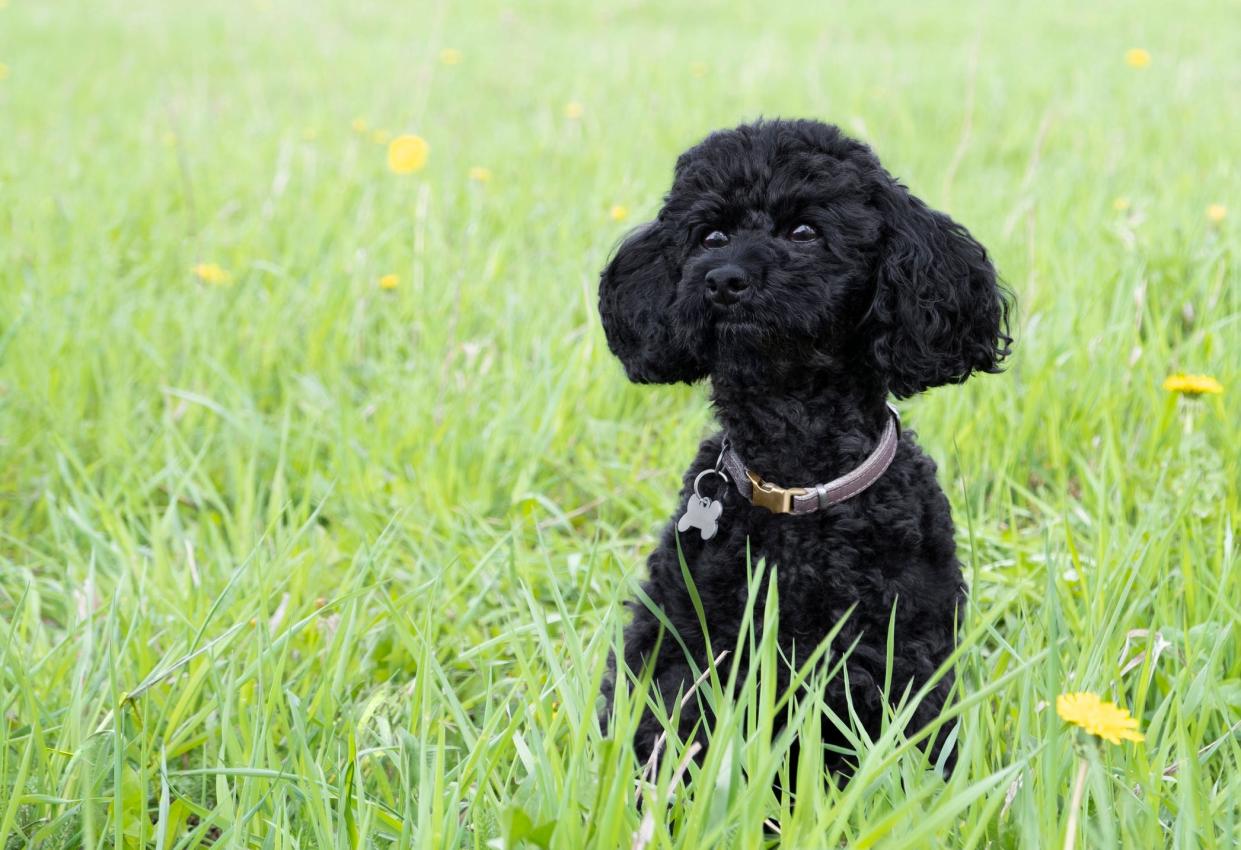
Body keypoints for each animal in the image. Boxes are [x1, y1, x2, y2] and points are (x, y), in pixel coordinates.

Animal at [595, 117, 1012, 774]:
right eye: (711, 235)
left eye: (805, 231)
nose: (723, 280)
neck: (793, 476)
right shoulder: (686, 652)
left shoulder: (894, 656)